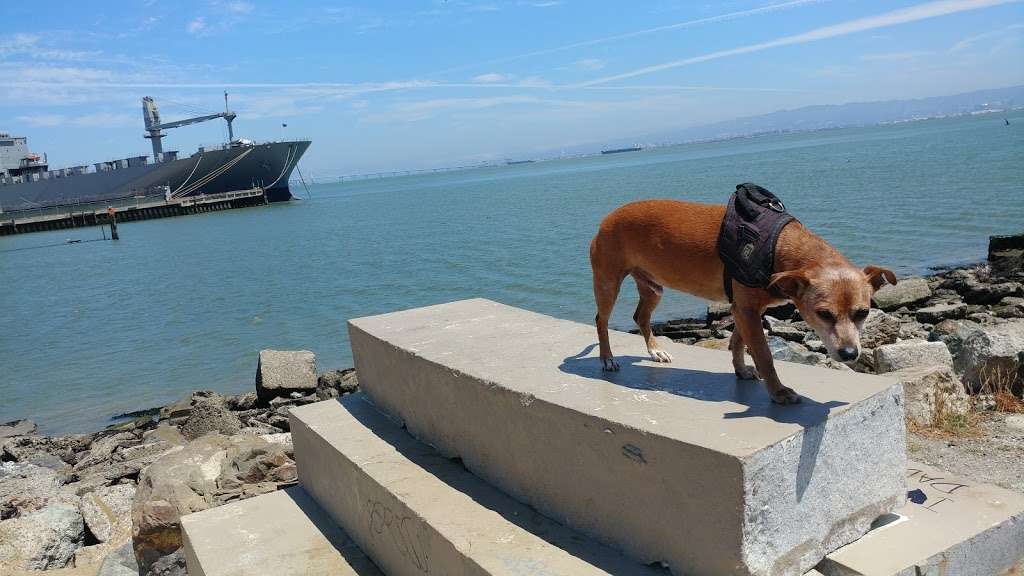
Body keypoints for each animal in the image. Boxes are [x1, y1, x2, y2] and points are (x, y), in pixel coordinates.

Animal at [593, 199, 897, 401]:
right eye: (823, 313)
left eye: (863, 313)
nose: (849, 354)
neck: (778, 247)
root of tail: (607, 217)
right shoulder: (748, 310)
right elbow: (763, 354)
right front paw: (778, 392)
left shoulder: (742, 309)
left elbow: (738, 342)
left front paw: (740, 370)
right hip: (608, 283)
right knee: (601, 320)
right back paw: (607, 359)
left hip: (653, 287)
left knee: (641, 317)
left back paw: (655, 351)